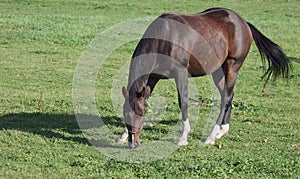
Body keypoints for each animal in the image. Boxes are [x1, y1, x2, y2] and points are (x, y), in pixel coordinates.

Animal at [117, 7, 290, 149]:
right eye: (126, 114)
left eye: (141, 114)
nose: (133, 144)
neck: (164, 37)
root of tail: (243, 23)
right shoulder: (153, 77)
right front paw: (123, 136)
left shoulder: (180, 73)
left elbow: (183, 102)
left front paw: (183, 137)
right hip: (218, 71)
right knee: (227, 96)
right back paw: (222, 131)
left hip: (232, 67)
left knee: (226, 99)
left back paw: (212, 135)